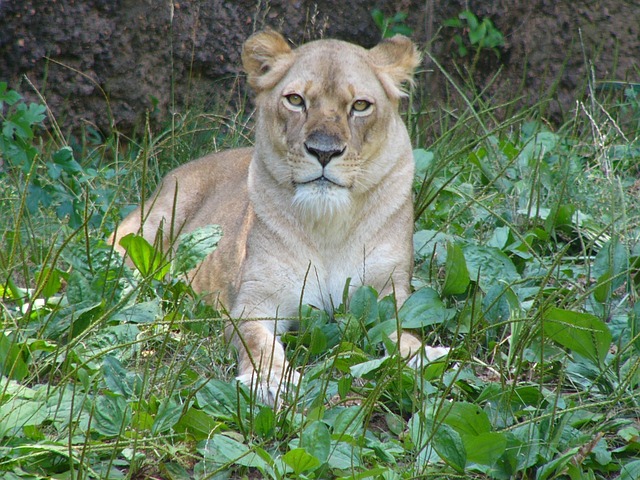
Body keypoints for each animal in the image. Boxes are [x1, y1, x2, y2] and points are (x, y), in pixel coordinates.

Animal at [110, 29, 449, 405]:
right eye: (296, 100)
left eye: (360, 105)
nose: (324, 152)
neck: (328, 227)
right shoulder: (254, 304)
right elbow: (259, 344)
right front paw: (270, 381)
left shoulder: (389, 292)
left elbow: (399, 327)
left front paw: (423, 356)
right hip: (152, 224)